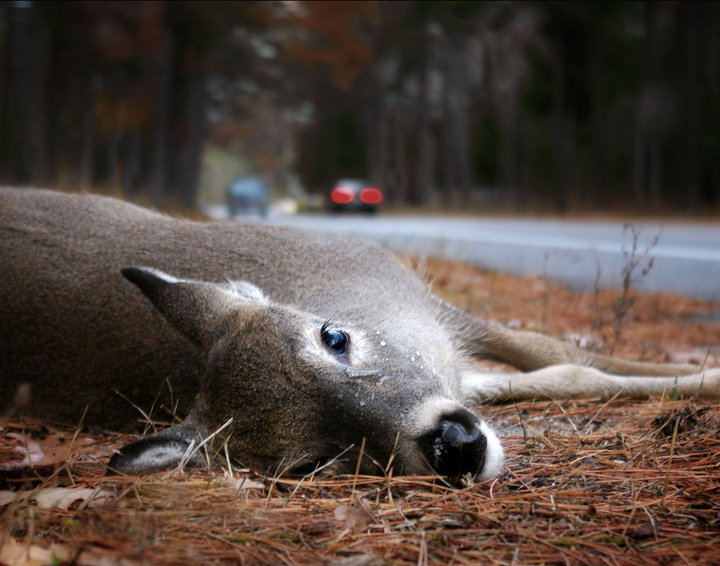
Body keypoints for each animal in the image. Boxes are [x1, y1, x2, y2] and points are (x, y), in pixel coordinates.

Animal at [0, 189, 716, 486]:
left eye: (335, 336)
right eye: (313, 464)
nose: (454, 445)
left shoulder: (431, 306)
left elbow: (559, 356)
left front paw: (703, 376)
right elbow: (561, 374)